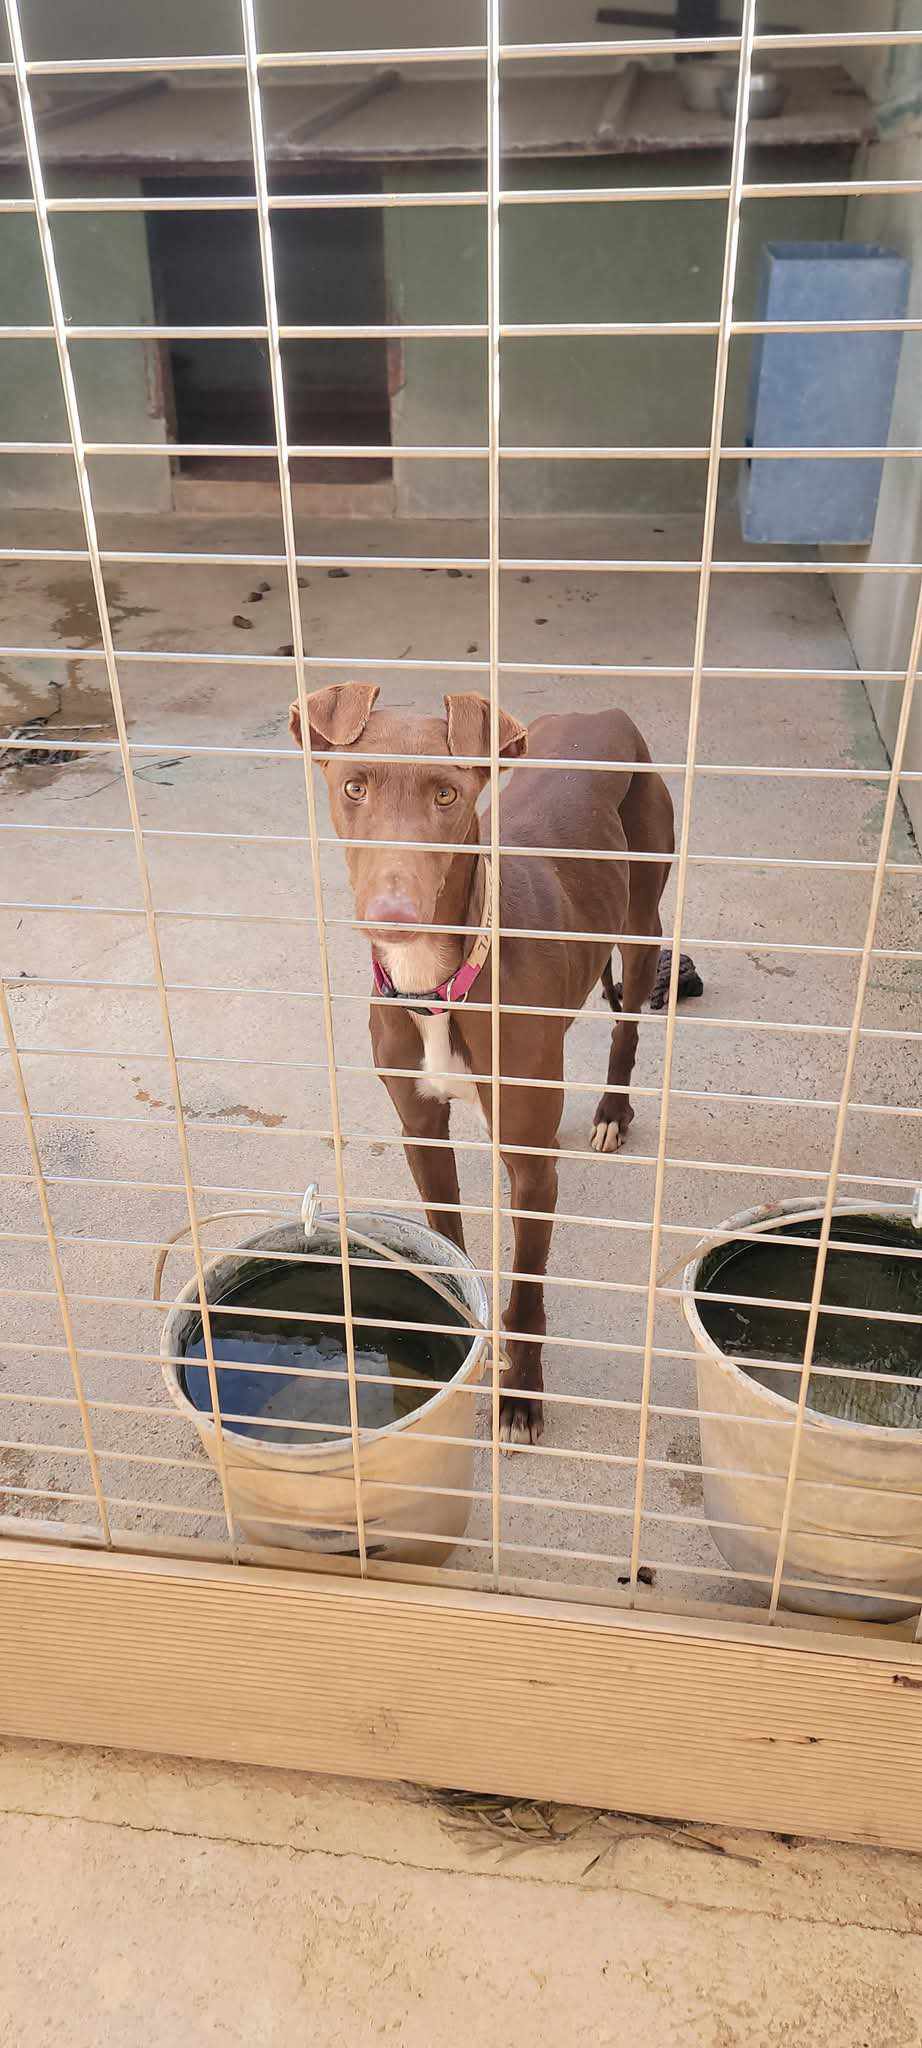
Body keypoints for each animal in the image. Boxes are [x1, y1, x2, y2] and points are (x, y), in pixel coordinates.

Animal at [291, 683, 700, 1445]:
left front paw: (521, 1396)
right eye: (354, 787)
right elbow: (446, 1243)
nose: (394, 914)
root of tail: (605, 715)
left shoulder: (532, 1170)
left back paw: (612, 1111)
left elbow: (529, 1294)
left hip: (641, 923)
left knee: (626, 1021)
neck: (437, 987)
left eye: (447, 795)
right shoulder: (421, 1131)